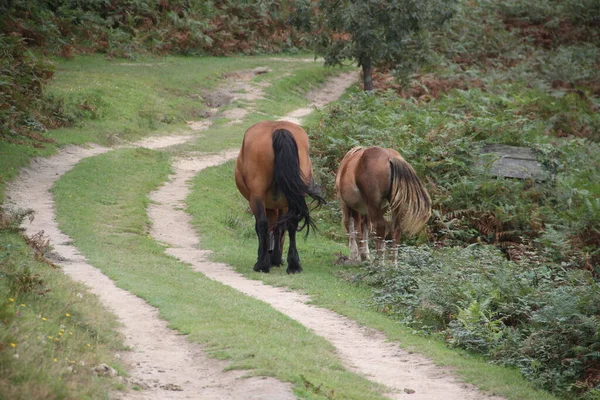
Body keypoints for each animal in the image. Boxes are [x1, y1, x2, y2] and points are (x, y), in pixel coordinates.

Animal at [234, 120, 324, 274]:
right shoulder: (283, 204)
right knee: (292, 223)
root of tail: (278, 129)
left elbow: (270, 228)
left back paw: (262, 264)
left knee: (262, 224)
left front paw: (268, 257)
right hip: (294, 194)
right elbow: (280, 227)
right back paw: (294, 265)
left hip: (257, 195)